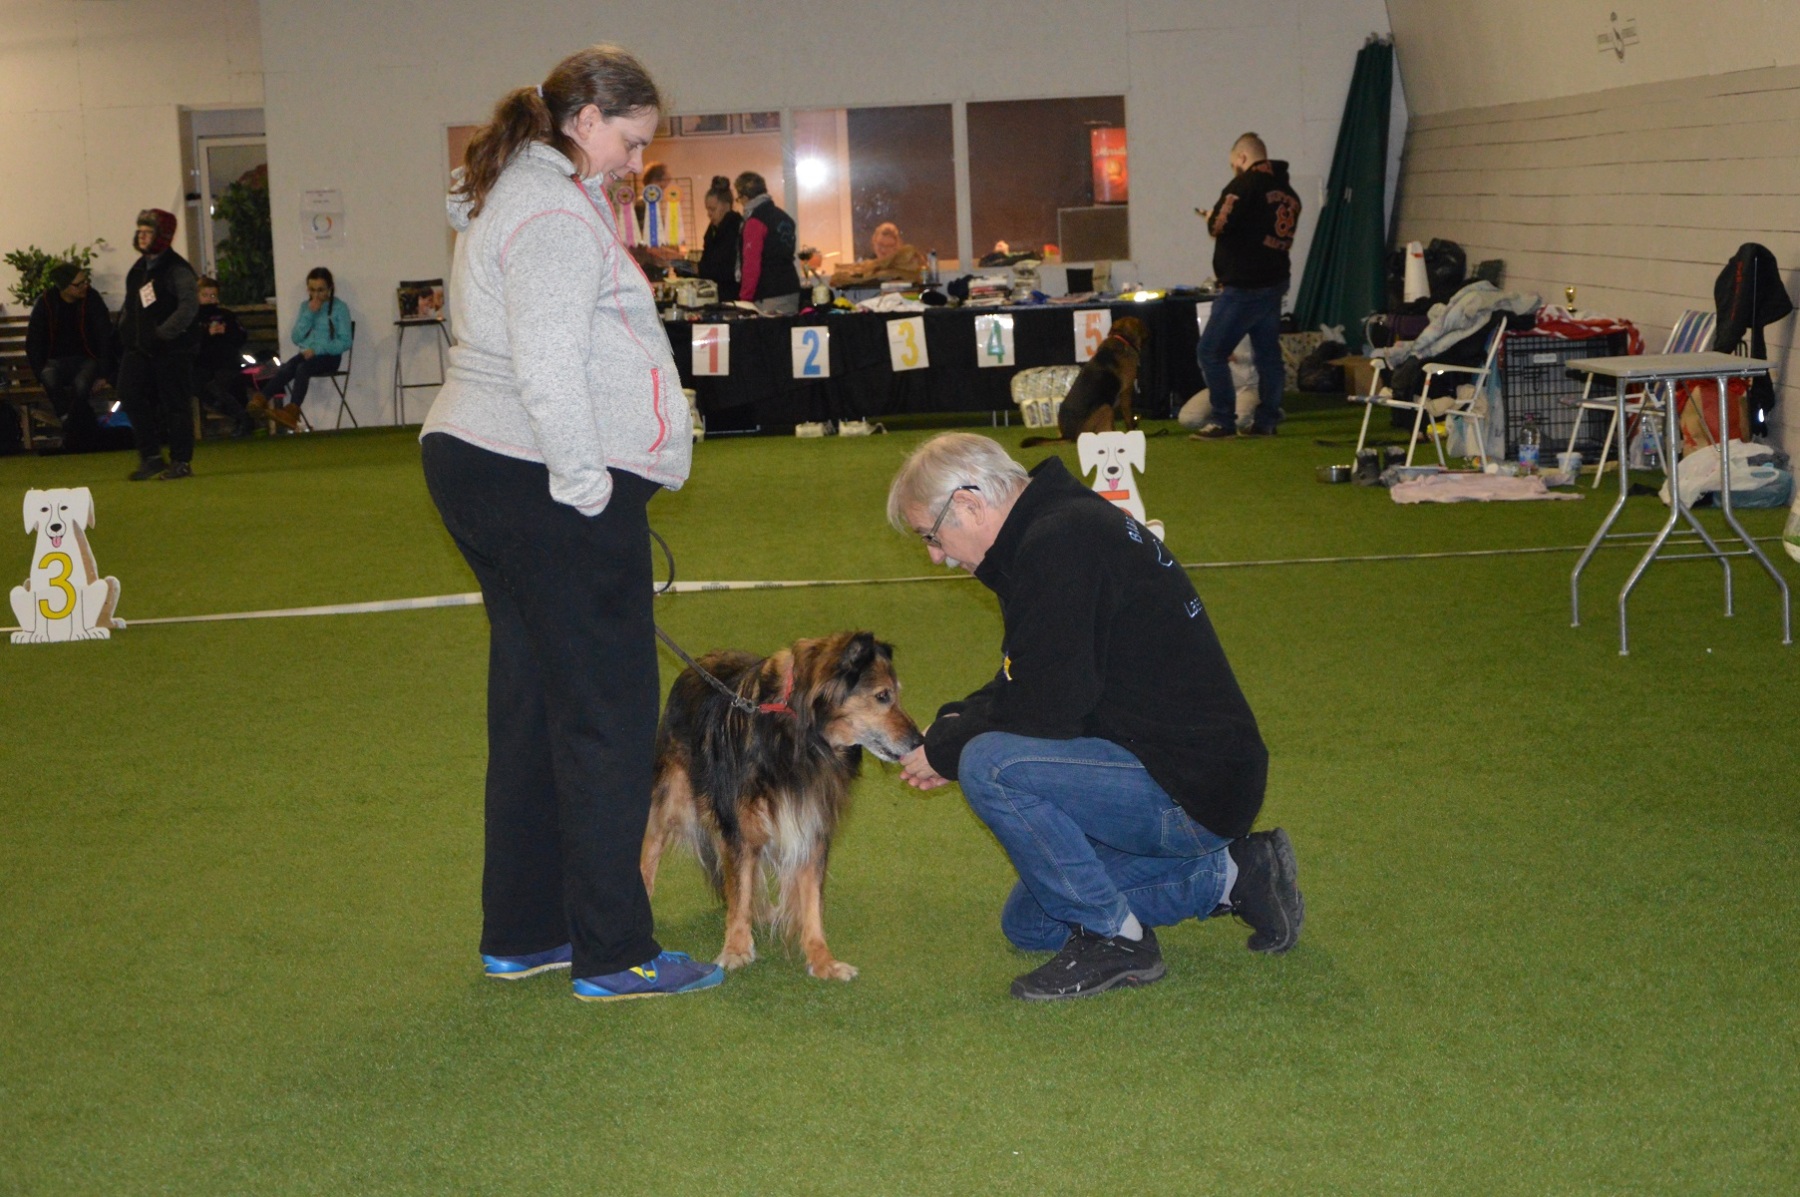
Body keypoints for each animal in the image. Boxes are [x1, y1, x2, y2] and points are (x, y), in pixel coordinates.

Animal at [641, 631, 923, 981]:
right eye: (882, 696)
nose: (919, 742)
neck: (797, 736)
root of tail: (697, 664)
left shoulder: (810, 826)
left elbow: (810, 900)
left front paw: (823, 959)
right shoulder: (740, 828)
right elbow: (740, 888)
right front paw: (736, 949)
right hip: (670, 797)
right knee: (651, 854)